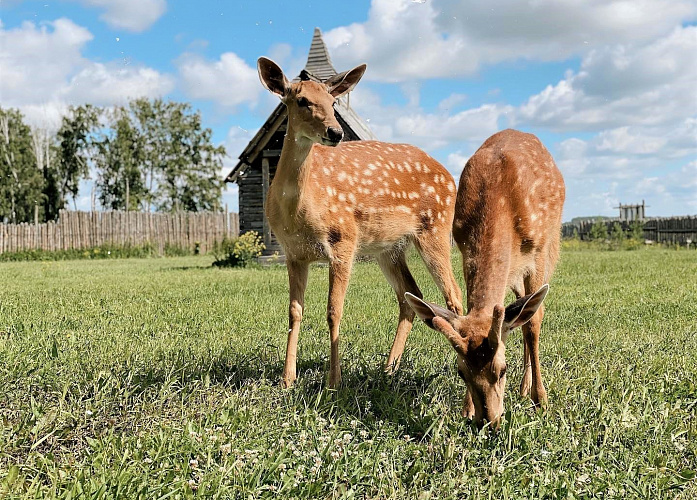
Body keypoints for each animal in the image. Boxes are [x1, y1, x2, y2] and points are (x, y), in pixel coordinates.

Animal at [256, 57, 462, 386]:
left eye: (333, 101)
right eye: (301, 100)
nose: (335, 132)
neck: (297, 210)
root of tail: (449, 175)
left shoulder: (344, 239)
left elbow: (333, 311)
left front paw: (334, 382)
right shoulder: (293, 253)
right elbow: (294, 311)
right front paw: (288, 379)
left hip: (436, 227)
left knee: (453, 296)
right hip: (388, 249)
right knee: (410, 297)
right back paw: (389, 368)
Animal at [406, 129, 564, 426]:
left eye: (502, 370)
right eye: (461, 372)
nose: (488, 422)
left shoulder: (537, 251)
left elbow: (533, 322)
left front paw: (541, 400)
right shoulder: (462, 244)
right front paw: (466, 409)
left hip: (551, 245)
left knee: (530, 317)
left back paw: (527, 388)